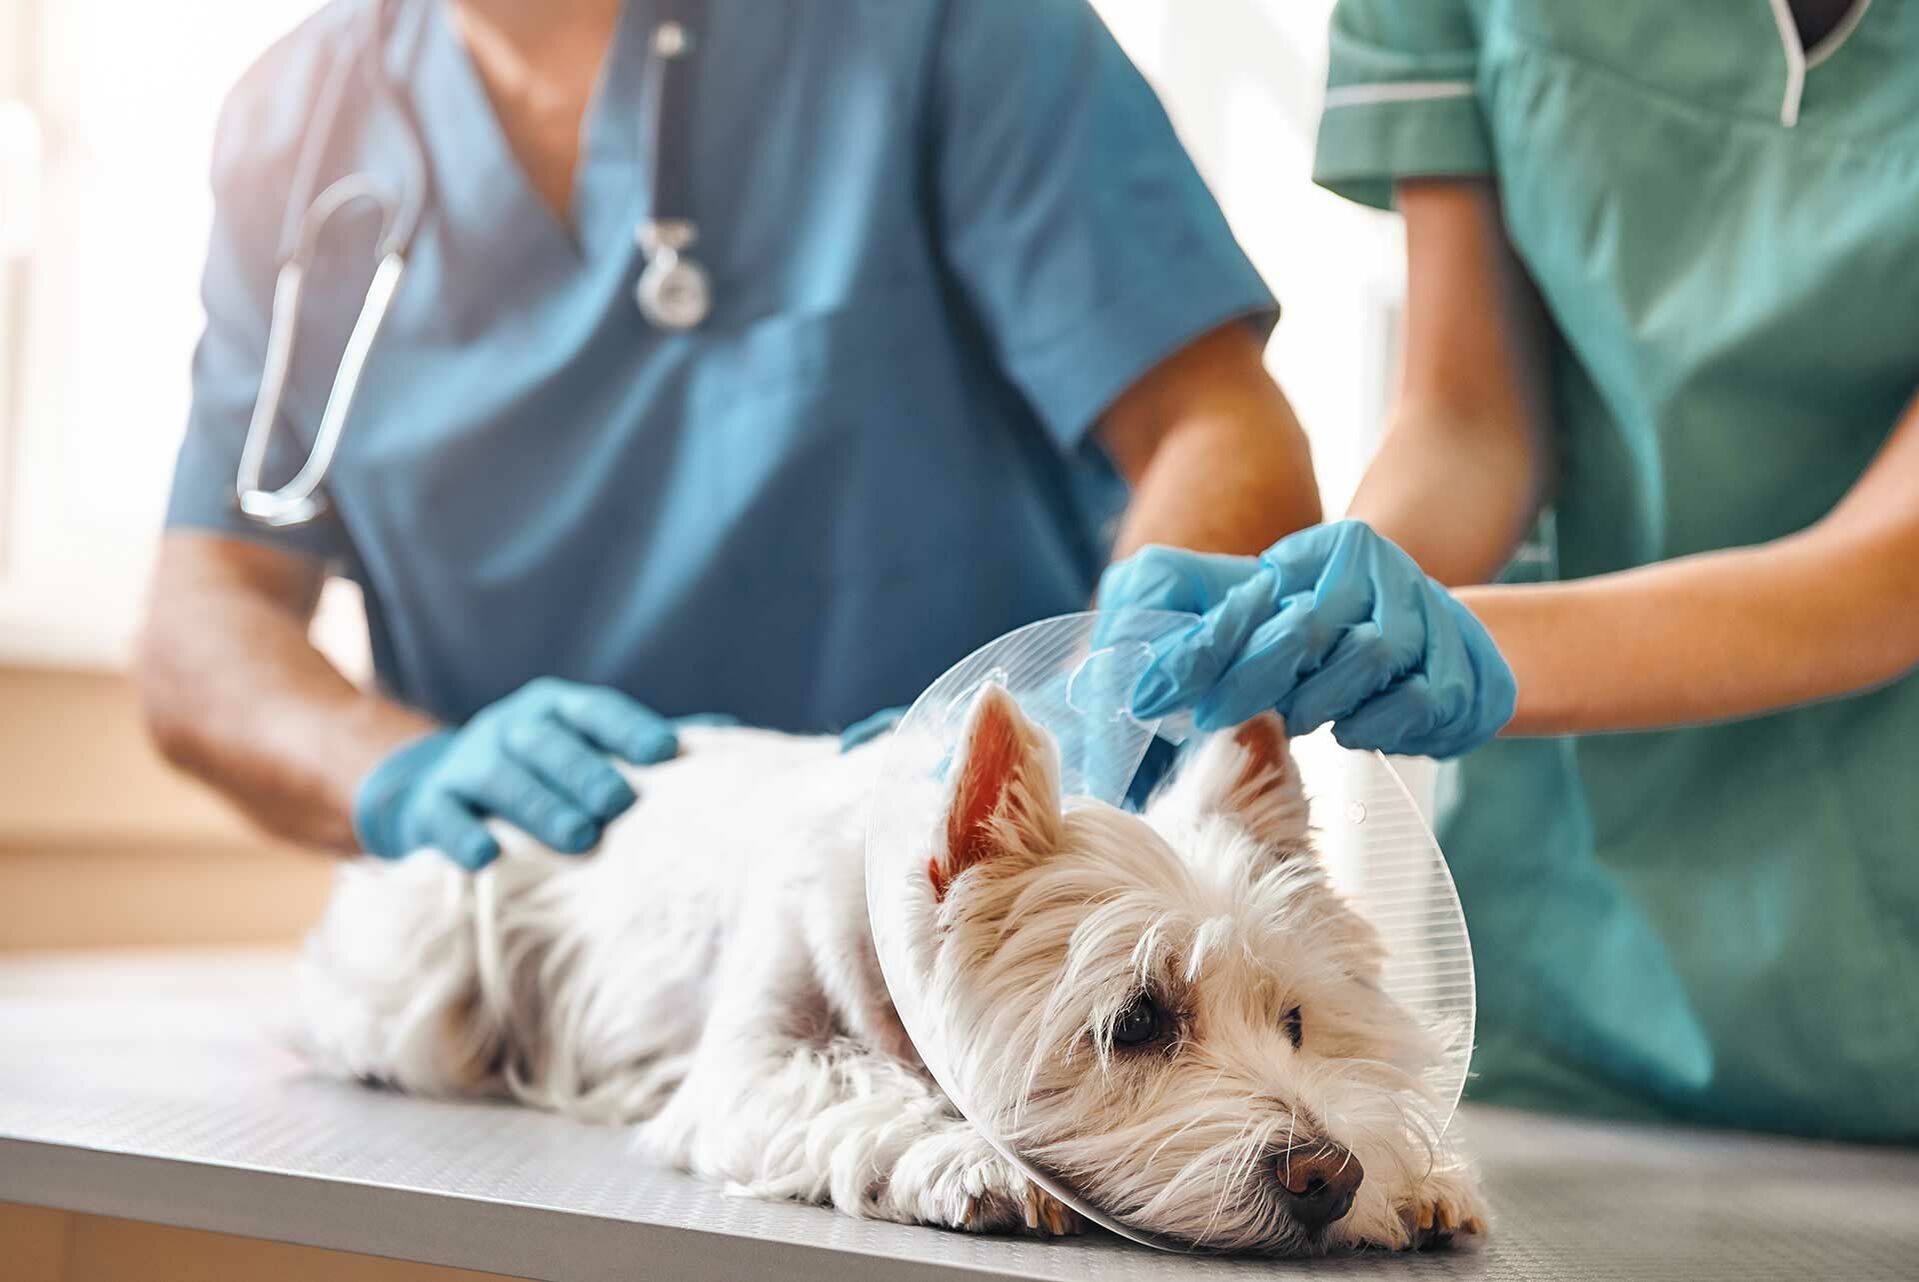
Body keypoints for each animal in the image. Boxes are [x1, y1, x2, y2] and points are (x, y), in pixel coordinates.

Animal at [299, 690, 1481, 1251]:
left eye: (1297, 1022)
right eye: (1137, 1020)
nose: (1329, 1178)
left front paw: (1421, 1180)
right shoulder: (749, 1065)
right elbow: (856, 1085)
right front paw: (975, 1161)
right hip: (434, 950)